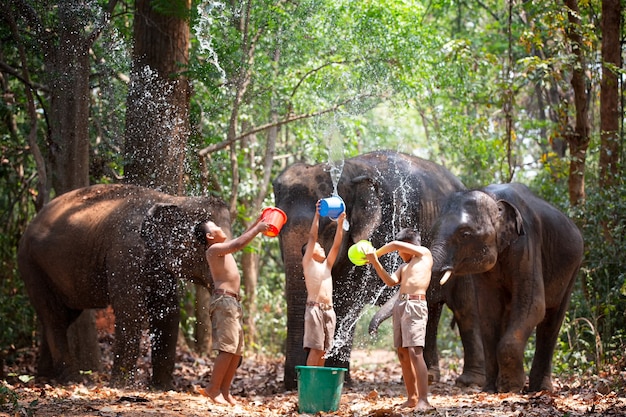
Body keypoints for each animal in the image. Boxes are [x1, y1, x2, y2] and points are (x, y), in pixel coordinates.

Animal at [17, 184, 229, 388]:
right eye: (205, 241)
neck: (174, 199)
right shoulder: (125, 254)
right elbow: (130, 310)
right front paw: (121, 386)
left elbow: (167, 310)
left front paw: (162, 388)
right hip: (31, 265)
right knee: (55, 317)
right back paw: (72, 380)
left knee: (62, 316)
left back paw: (45, 376)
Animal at [272, 150, 482, 390]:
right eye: (280, 230)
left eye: (330, 229)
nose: (293, 383)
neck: (352, 171)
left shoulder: (377, 230)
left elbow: (347, 299)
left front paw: (342, 379)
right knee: (431, 309)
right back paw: (429, 376)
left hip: (466, 255)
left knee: (465, 310)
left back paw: (468, 381)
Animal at [426, 183, 584, 394]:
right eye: (433, 231)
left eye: (465, 234)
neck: (494, 198)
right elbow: (488, 311)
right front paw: (490, 390)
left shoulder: (526, 244)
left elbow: (533, 306)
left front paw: (510, 388)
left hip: (574, 266)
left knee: (552, 320)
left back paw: (540, 389)